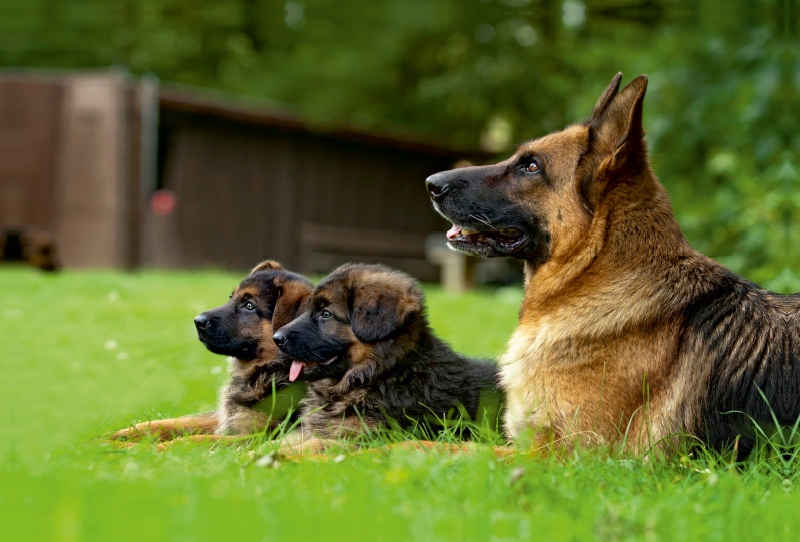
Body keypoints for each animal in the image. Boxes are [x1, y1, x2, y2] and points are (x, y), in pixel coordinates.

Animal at [111, 262, 310, 444]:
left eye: (249, 305)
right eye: (231, 298)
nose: (197, 321)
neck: (268, 369)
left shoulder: (256, 436)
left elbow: (192, 440)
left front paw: (142, 448)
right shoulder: (224, 419)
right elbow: (176, 422)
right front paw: (117, 436)